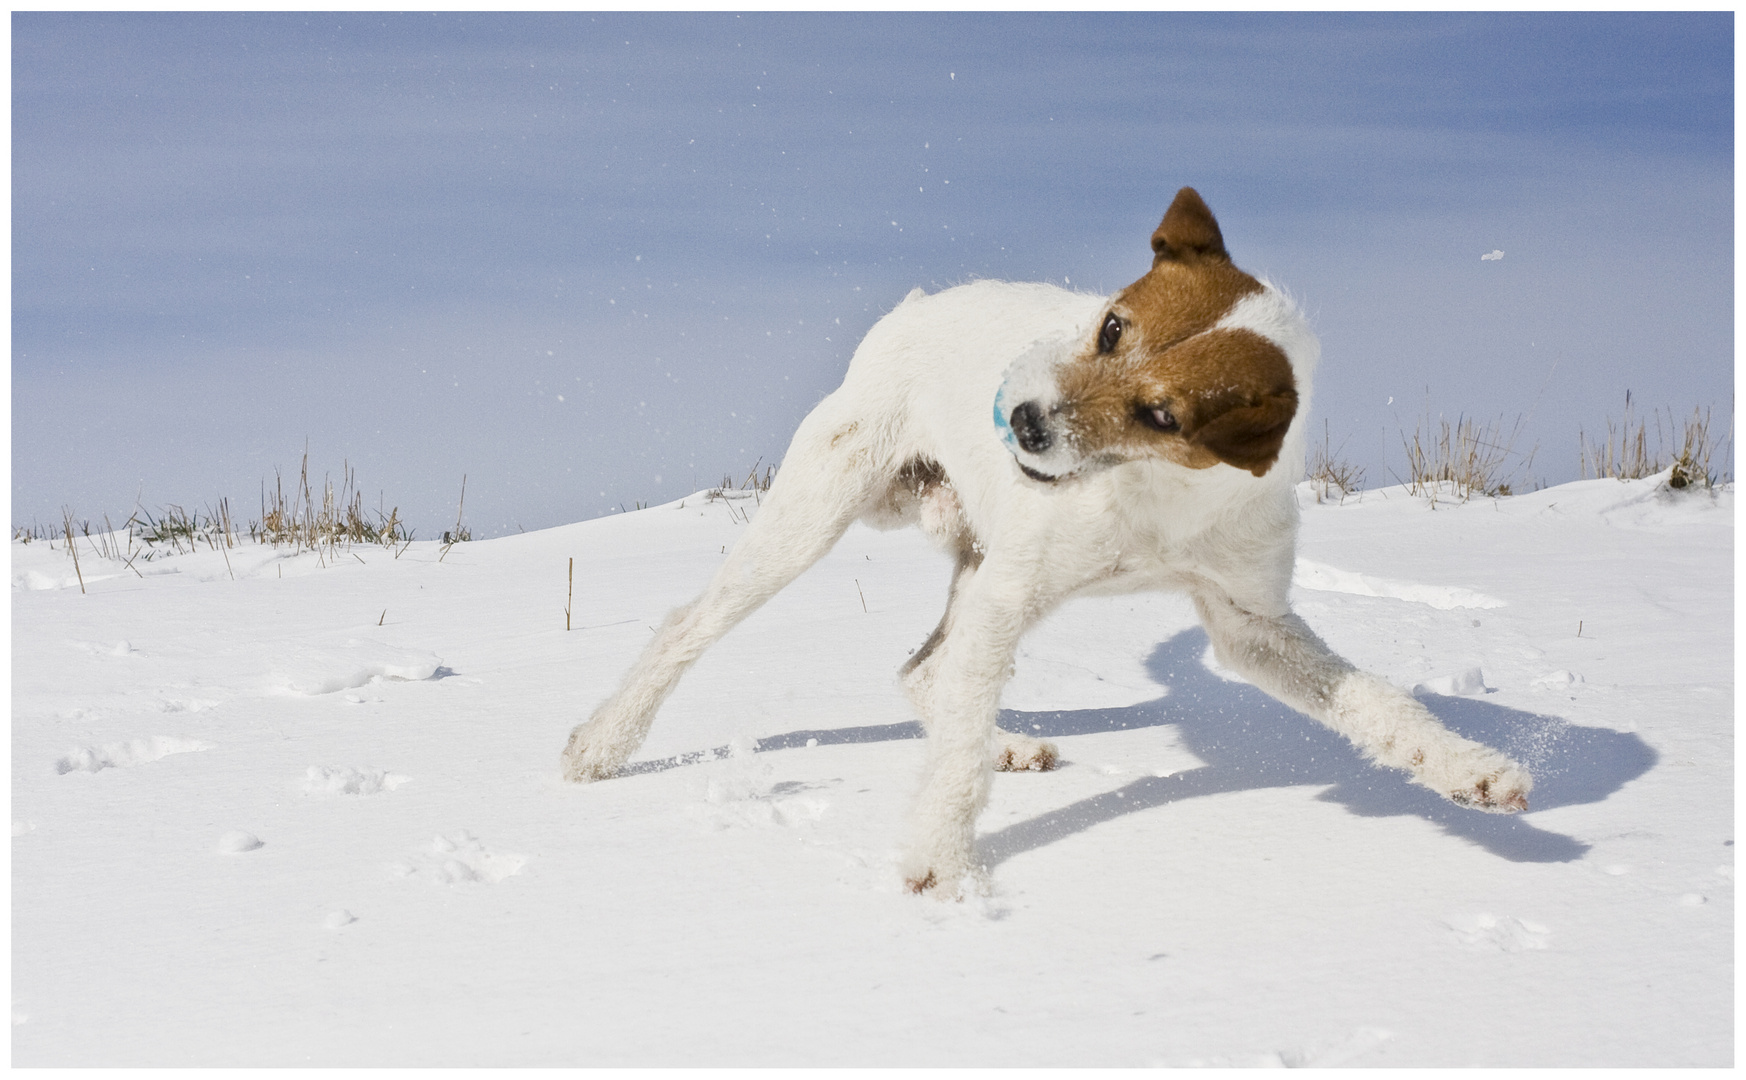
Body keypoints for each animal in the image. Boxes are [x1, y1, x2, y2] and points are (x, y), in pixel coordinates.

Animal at [562, 190, 1529, 900]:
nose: (1023, 422)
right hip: (818, 515)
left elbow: (1380, 704)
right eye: (1112, 326)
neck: (1152, 496)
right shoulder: (1011, 596)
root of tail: (912, 309)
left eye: (1163, 413)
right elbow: (952, 768)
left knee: (928, 671)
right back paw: (601, 744)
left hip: (973, 564)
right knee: (692, 626)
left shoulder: (1249, 625)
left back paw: (1006, 740)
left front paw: (1471, 771)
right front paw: (940, 865)